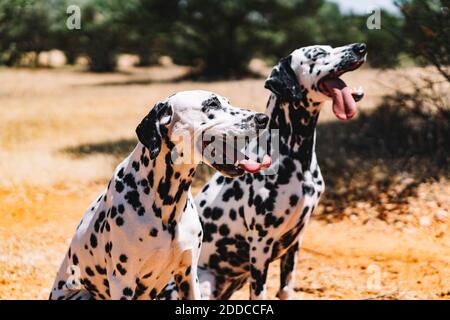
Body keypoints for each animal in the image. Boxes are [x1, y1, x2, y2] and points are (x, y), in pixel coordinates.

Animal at [48, 90, 270, 300]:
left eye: (227, 102)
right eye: (211, 104)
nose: (263, 118)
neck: (167, 204)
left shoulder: (189, 274)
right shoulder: (123, 282)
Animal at [162, 43, 370, 300]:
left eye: (330, 47)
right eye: (318, 54)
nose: (360, 47)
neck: (295, 156)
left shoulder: (295, 243)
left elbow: (286, 288)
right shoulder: (261, 245)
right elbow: (260, 293)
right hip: (203, 281)